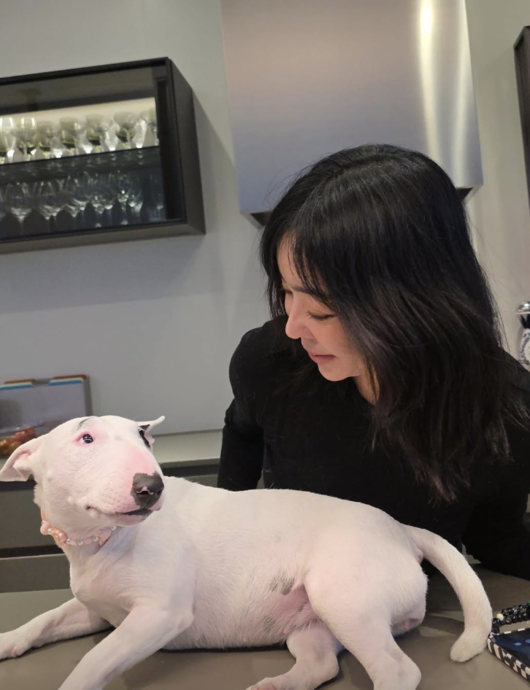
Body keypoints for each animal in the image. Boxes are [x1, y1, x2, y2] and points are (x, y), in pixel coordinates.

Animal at [0, 415, 492, 690]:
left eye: (145, 440)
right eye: (86, 439)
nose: (151, 486)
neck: (99, 540)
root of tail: (402, 531)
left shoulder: (160, 614)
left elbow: (93, 660)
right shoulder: (97, 610)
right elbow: (45, 619)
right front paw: (8, 641)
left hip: (343, 598)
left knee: (397, 671)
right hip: (314, 625)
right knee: (320, 665)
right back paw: (277, 686)